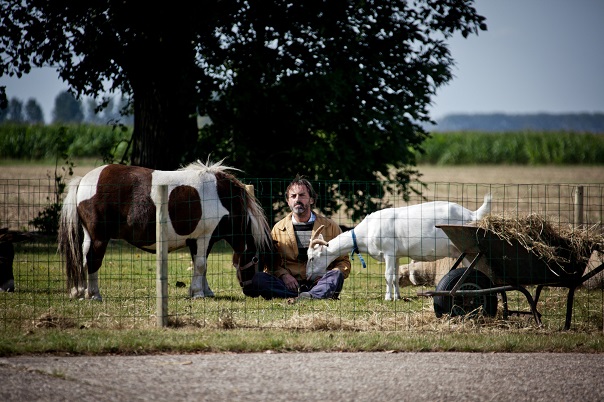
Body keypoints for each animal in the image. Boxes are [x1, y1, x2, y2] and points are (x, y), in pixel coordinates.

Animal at [56, 159, 274, 300]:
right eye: (256, 259)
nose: (250, 291)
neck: (223, 198)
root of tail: (84, 181)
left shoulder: (197, 241)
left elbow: (200, 266)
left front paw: (205, 291)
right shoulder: (204, 237)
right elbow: (201, 265)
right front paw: (198, 294)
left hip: (89, 236)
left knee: (84, 259)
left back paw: (81, 291)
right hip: (100, 237)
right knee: (93, 260)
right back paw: (94, 295)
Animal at [306, 193, 490, 300]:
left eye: (312, 258)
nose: (307, 277)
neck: (367, 230)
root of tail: (472, 214)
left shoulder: (388, 251)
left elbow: (388, 276)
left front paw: (388, 298)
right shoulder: (396, 254)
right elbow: (394, 277)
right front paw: (398, 297)